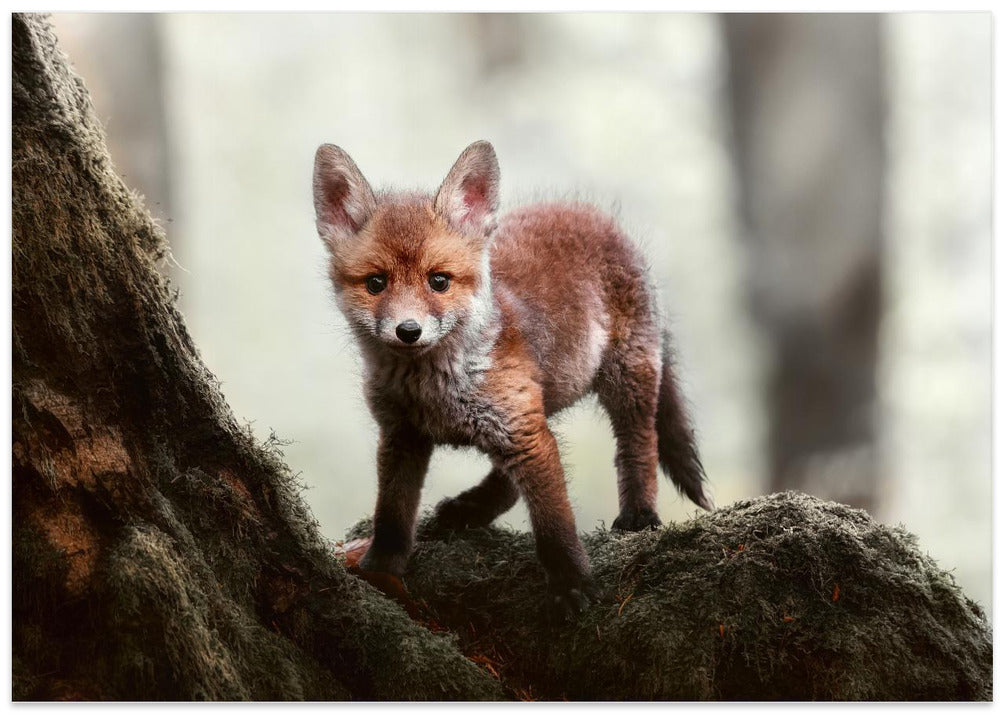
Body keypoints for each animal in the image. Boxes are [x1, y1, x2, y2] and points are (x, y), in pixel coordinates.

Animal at [312, 140, 712, 618]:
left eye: (438, 281)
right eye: (376, 283)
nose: (408, 331)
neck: (435, 393)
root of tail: (589, 213)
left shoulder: (523, 435)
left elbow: (555, 520)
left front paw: (571, 582)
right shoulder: (402, 436)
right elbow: (392, 514)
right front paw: (379, 570)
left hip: (625, 377)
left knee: (639, 443)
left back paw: (639, 515)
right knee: (507, 481)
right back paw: (467, 510)